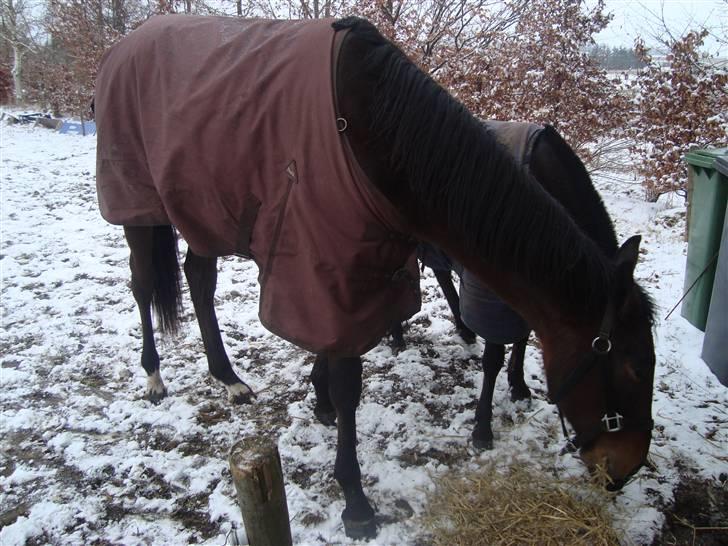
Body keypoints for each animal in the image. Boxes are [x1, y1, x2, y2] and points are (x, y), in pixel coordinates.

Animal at [94, 14, 656, 536]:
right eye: (633, 368)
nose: (625, 472)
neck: (377, 135)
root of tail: (121, 49)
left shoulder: (355, 267)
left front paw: (320, 401)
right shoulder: (329, 263)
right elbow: (352, 384)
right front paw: (356, 501)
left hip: (204, 213)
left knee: (199, 281)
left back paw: (228, 379)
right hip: (141, 206)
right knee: (143, 285)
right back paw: (154, 376)